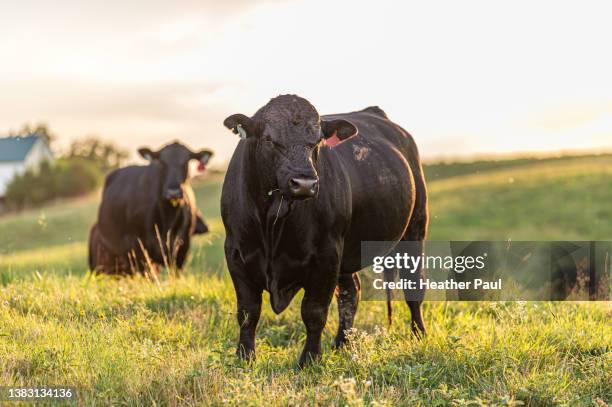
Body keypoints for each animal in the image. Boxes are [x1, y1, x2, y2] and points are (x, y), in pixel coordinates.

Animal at [88, 142, 213, 276]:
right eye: (162, 163)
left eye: (185, 162)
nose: (173, 192)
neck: (167, 218)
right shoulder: (138, 246)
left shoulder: (182, 247)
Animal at [222, 95, 428, 366]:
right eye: (268, 139)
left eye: (318, 141)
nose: (304, 183)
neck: (273, 222)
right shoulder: (236, 253)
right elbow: (248, 311)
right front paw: (244, 356)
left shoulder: (327, 254)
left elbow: (314, 311)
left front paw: (309, 359)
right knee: (351, 292)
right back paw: (342, 344)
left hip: (414, 230)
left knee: (413, 288)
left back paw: (419, 335)